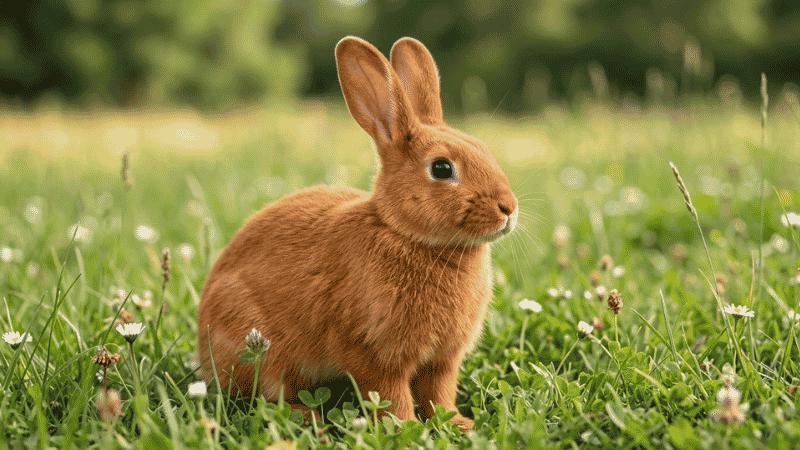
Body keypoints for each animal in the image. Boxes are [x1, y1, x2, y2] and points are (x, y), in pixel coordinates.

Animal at [197, 36, 518, 431]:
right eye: (442, 169)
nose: (509, 208)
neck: (405, 233)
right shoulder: (373, 352)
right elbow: (392, 396)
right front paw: (408, 429)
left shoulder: (442, 360)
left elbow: (438, 395)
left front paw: (458, 424)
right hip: (261, 349)